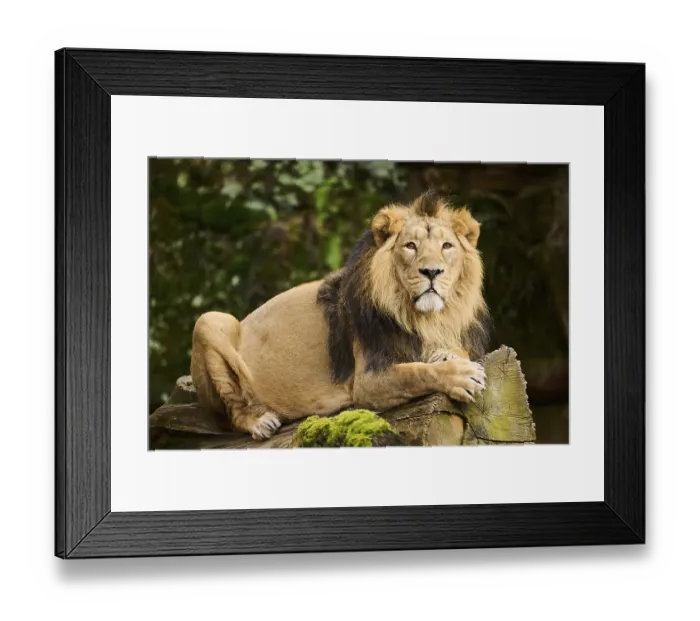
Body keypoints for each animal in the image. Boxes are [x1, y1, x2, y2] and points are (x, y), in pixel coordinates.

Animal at [190, 191, 490, 440]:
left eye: (447, 246)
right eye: (411, 246)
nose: (432, 272)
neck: (424, 318)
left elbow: (452, 353)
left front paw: (449, 356)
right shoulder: (367, 382)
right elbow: (417, 373)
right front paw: (461, 376)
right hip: (210, 320)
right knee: (232, 413)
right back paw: (260, 422)